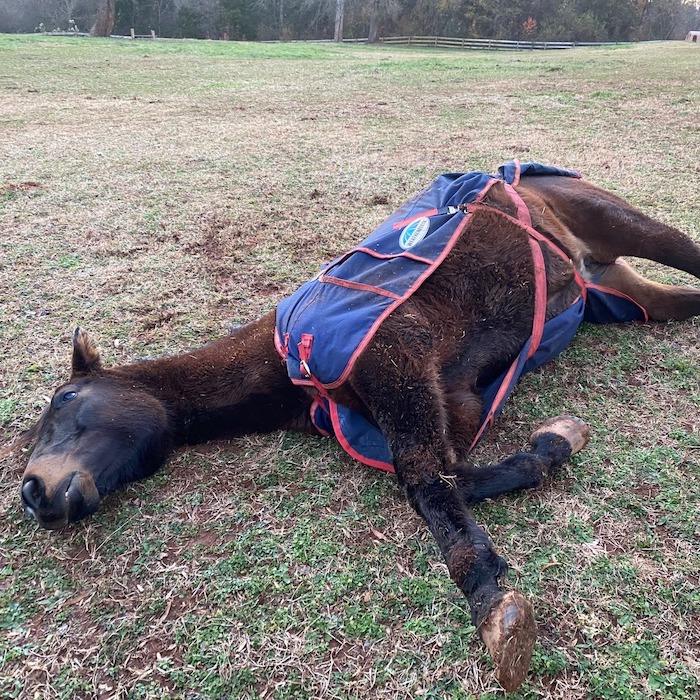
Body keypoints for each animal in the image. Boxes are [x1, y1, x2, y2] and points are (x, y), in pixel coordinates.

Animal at [16, 163, 700, 688]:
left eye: (67, 398)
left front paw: (488, 603)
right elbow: (449, 473)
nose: (33, 492)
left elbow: (425, 482)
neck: (288, 366)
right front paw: (552, 445)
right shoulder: (453, 402)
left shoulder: (396, 354)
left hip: (617, 219)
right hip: (619, 290)